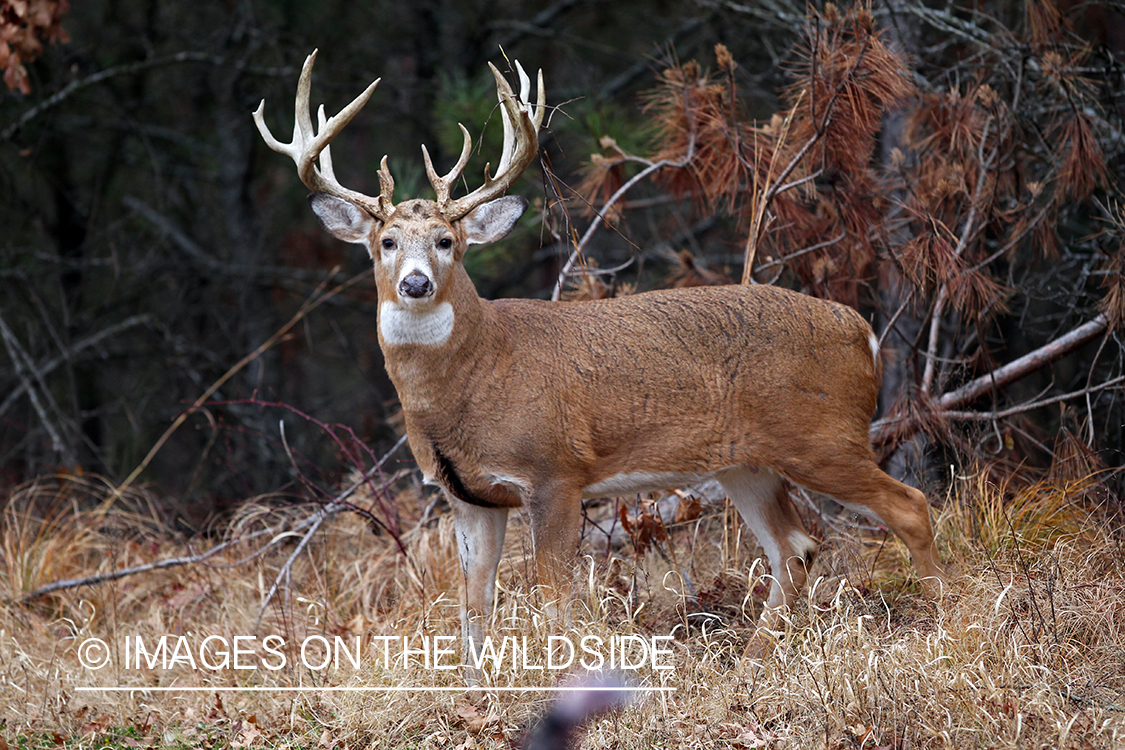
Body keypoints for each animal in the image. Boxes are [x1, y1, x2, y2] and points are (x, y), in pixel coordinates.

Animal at [253, 49, 940, 665]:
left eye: (448, 241)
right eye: (387, 241)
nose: (416, 283)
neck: (473, 379)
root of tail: (862, 330)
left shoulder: (554, 471)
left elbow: (553, 598)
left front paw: (557, 676)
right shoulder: (467, 496)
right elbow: (474, 607)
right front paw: (474, 693)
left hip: (824, 436)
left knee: (909, 507)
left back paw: (942, 622)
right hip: (749, 461)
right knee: (794, 546)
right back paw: (755, 658)